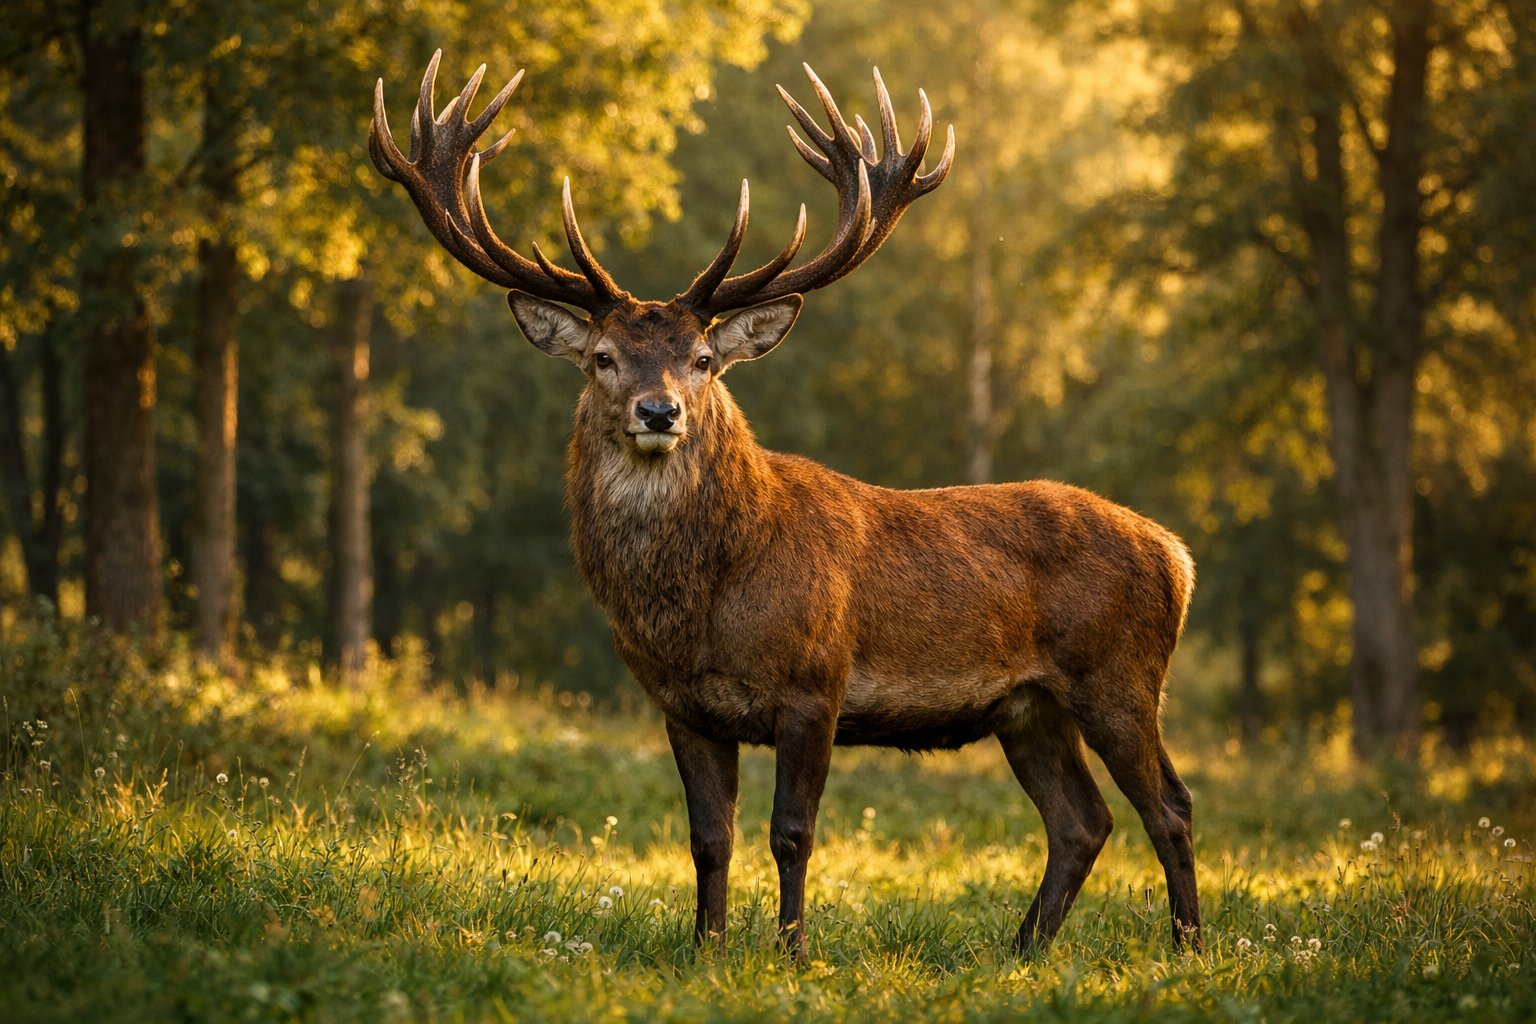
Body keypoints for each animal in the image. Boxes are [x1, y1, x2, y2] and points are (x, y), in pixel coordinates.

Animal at [370, 51, 1202, 957]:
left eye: (703, 360)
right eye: (602, 356)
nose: (658, 411)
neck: (700, 609)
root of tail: (1177, 553)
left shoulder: (817, 682)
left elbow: (791, 833)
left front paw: (793, 952)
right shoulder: (682, 705)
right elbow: (709, 838)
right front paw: (706, 950)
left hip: (1119, 674)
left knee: (1170, 804)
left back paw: (1188, 947)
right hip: (1027, 706)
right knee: (1081, 821)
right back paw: (1022, 951)